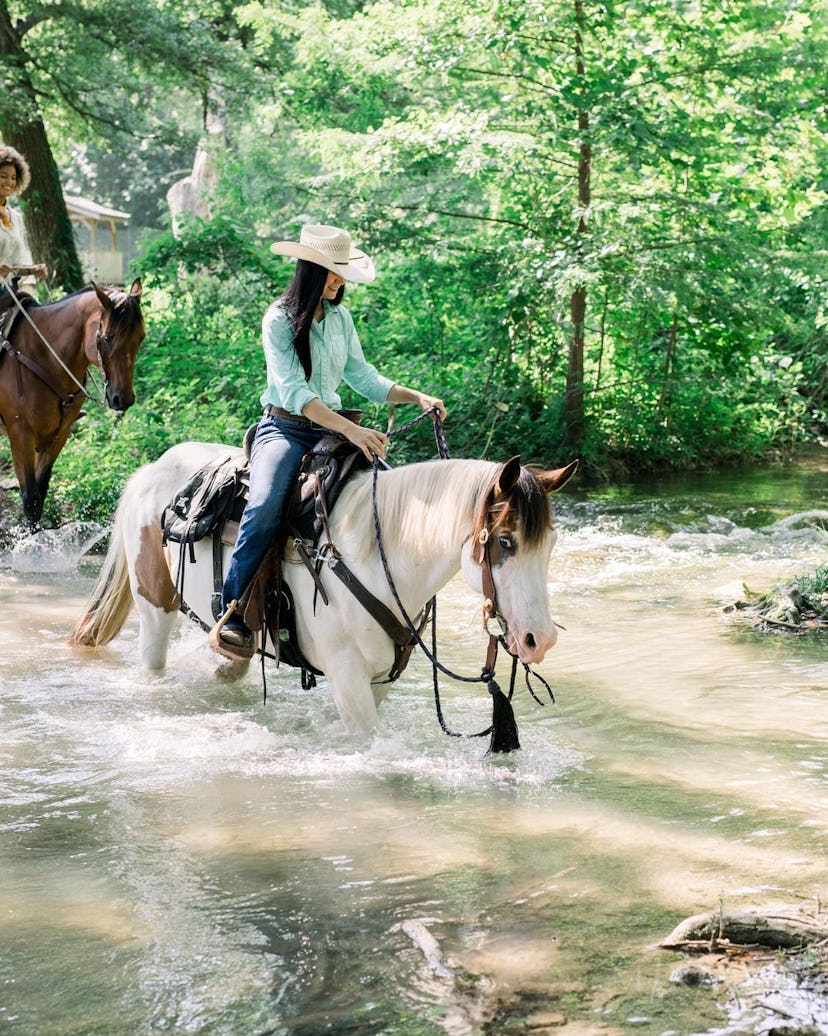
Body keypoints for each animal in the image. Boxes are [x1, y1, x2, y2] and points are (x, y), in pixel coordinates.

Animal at [0, 277, 145, 526]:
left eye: (141, 337)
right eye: (107, 338)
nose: (123, 398)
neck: (42, 355)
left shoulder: (60, 434)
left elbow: (41, 492)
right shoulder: (20, 435)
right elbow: (31, 499)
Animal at [71, 441, 576, 733]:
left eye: (550, 542)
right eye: (505, 541)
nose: (541, 639)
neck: (374, 555)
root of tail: (151, 471)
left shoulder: (379, 678)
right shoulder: (346, 674)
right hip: (154, 609)